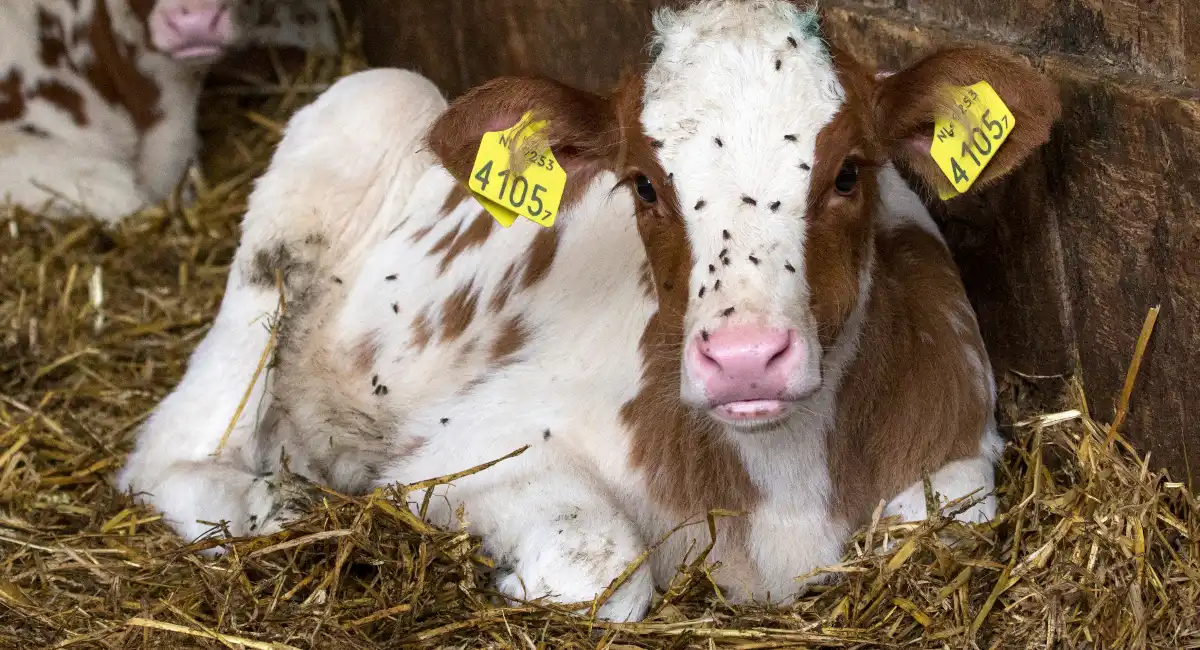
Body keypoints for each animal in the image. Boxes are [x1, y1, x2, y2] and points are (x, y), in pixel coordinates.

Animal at [116, 0, 1061, 622]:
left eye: (849, 172)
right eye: (644, 184)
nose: (745, 358)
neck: (781, 489)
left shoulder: (959, 443)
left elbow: (944, 524)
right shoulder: (460, 453)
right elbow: (596, 567)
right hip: (338, 147)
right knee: (168, 449)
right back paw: (267, 505)